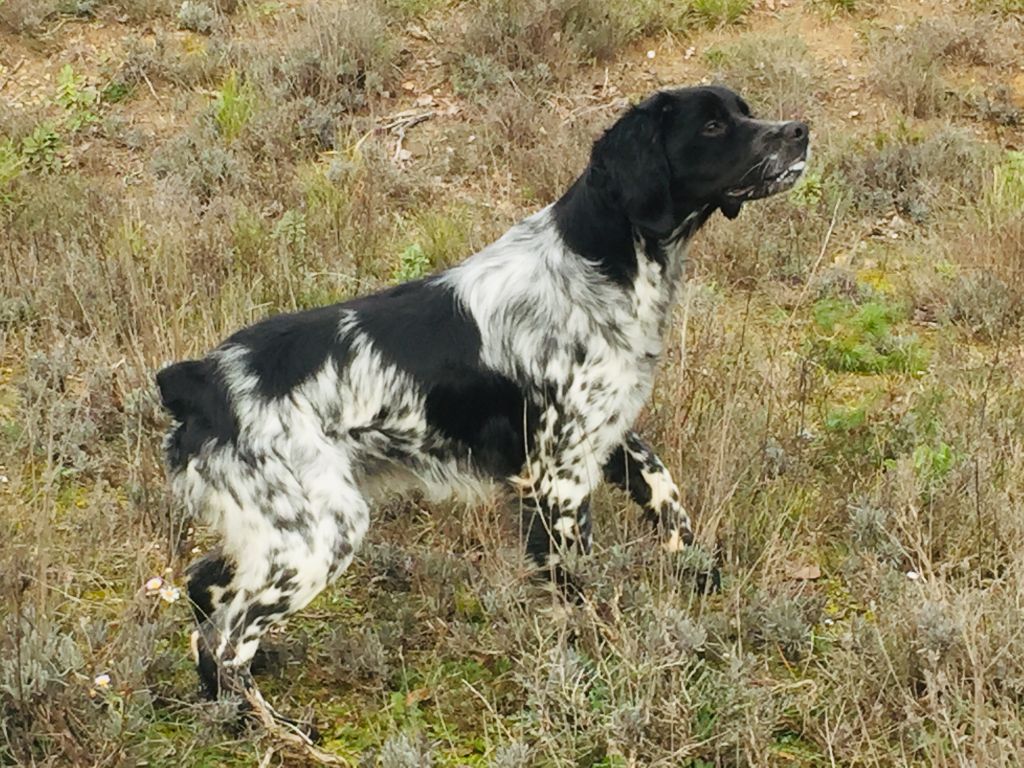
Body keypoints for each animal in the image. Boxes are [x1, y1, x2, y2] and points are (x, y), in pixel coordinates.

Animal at [155, 83, 806, 733]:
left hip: (275, 528)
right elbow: (578, 587)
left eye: (743, 111)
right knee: (232, 639)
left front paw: (698, 576)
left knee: (206, 592)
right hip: (321, 532)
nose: (800, 131)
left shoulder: (605, 435)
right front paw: (602, 667)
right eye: (714, 126)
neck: (598, 265)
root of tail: (201, 381)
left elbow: (668, 498)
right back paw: (282, 732)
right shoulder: (558, 478)